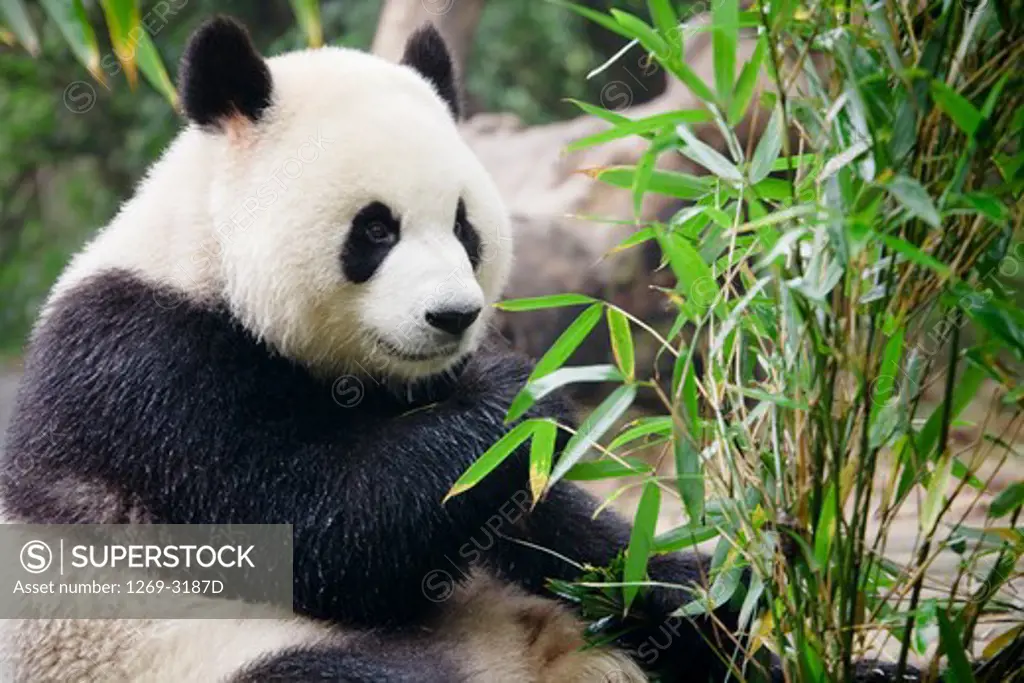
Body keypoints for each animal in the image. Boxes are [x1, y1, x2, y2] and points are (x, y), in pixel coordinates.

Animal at [2, 15, 737, 683]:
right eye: (377, 229)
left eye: (464, 226)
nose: (454, 316)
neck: (205, 264)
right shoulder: (148, 368)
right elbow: (317, 531)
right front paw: (520, 392)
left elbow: (558, 534)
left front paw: (702, 585)